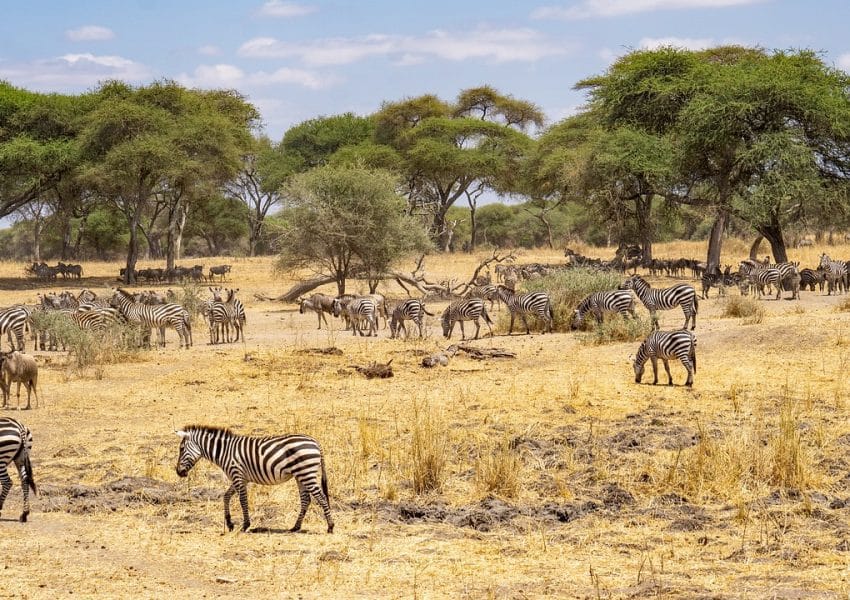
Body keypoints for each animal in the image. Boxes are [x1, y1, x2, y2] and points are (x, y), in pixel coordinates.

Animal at [174, 424, 332, 532]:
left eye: (181, 449)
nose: (178, 472)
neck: (224, 451)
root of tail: (315, 442)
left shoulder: (237, 474)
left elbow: (243, 500)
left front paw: (245, 525)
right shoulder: (239, 477)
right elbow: (226, 496)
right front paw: (230, 523)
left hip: (306, 473)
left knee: (321, 497)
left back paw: (330, 526)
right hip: (301, 475)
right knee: (306, 500)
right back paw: (295, 527)